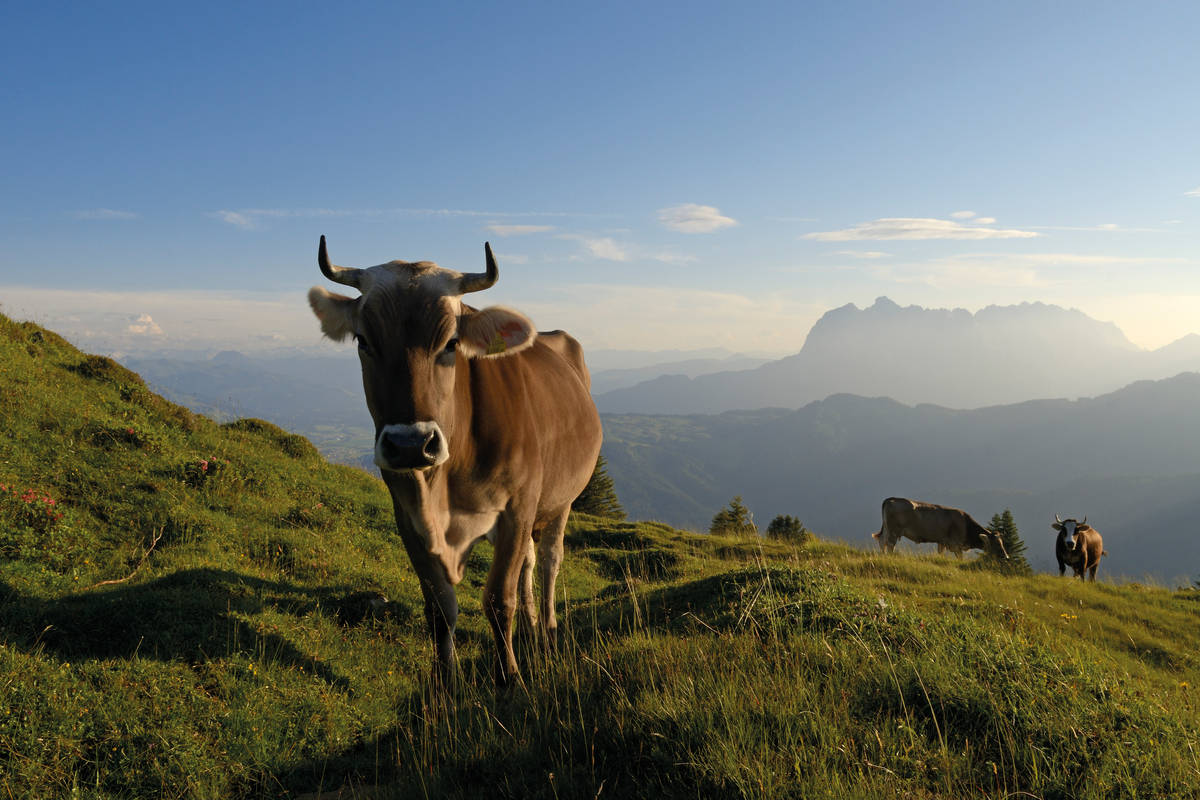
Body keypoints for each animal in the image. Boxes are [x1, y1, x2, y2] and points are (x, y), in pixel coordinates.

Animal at [304, 237, 604, 690]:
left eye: (450, 343)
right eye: (362, 341)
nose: (411, 444)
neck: (443, 489)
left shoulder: (517, 507)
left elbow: (498, 599)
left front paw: (509, 677)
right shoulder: (406, 516)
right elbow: (440, 607)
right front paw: (445, 680)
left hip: (562, 499)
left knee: (550, 560)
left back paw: (549, 630)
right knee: (531, 562)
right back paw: (533, 625)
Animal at [873, 496, 1012, 561]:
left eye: (1002, 542)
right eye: (996, 544)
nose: (1006, 556)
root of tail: (891, 498)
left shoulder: (942, 542)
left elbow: (940, 554)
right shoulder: (956, 545)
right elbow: (960, 558)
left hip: (888, 529)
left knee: (882, 541)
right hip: (894, 530)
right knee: (890, 544)